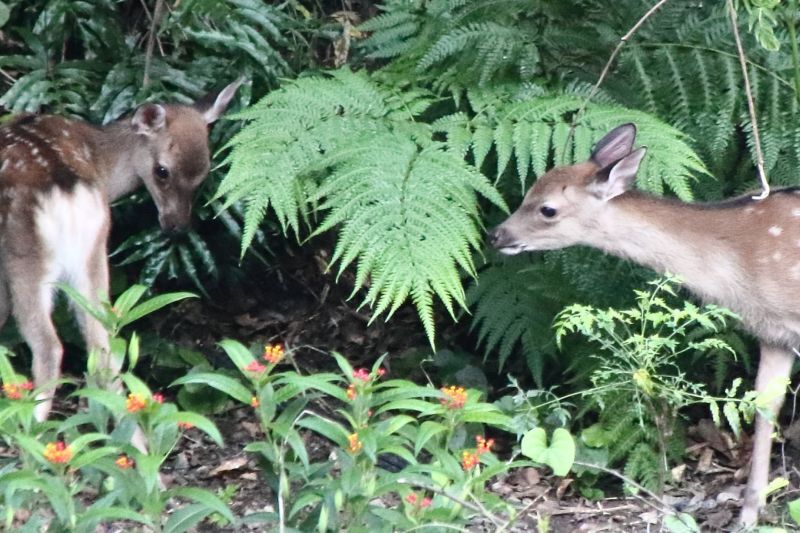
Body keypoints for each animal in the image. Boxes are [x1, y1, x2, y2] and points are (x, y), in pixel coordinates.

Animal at [0, 79, 241, 432]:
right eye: (162, 171)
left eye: (203, 174)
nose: (177, 227)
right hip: (93, 255)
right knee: (104, 347)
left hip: (24, 254)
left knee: (49, 346)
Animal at [490, 123, 796, 524]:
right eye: (527, 192)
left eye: (548, 209)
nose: (497, 235)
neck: (742, 261)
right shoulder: (774, 335)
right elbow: (764, 407)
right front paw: (748, 515)